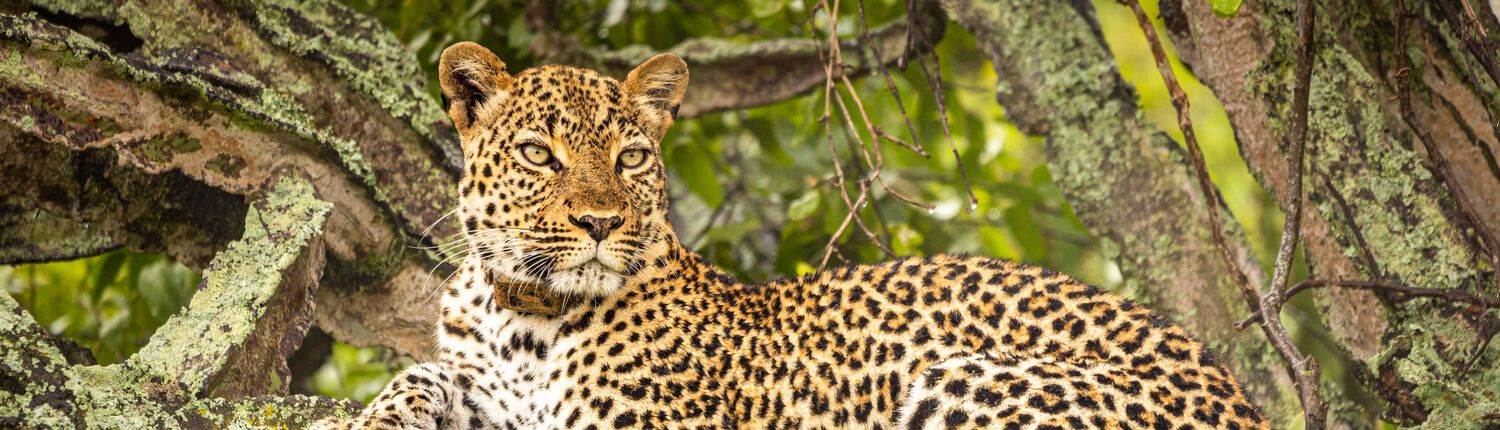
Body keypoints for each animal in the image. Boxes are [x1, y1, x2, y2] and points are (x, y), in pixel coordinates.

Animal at [313, 41, 1268, 429]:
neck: (523, 313)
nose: (600, 223)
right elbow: (424, 376)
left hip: (965, 375)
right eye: (540, 156)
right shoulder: (485, 385)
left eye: (629, 157)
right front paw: (380, 415)